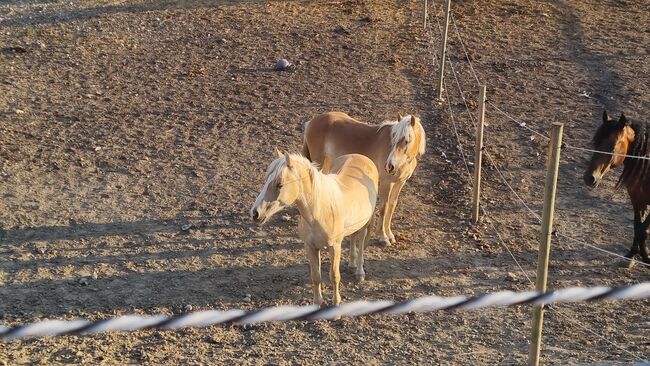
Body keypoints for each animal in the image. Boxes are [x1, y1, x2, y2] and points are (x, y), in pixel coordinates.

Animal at [249, 149, 380, 306]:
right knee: (353, 238)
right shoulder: (310, 247)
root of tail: (362, 157)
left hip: (365, 224)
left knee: (360, 244)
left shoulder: (335, 247)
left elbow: (334, 276)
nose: (255, 213)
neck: (319, 210)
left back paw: (359, 272)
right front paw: (317, 302)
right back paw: (352, 264)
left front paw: (336, 303)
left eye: (279, 184)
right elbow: (316, 276)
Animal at [300, 111, 426, 246]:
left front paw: (390, 235)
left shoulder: (399, 183)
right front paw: (383, 237)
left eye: (407, 140)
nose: (389, 166)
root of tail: (311, 122)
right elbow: (384, 208)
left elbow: (391, 206)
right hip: (319, 162)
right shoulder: (386, 184)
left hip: (327, 162)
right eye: (393, 140)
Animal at [584, 110, 648, 264]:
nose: (589, 178)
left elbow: (643, 229)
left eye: (612, 147)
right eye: (595, 143)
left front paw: (645, 257)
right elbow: (638, 226)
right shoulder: (637, 199)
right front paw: (634, 254)